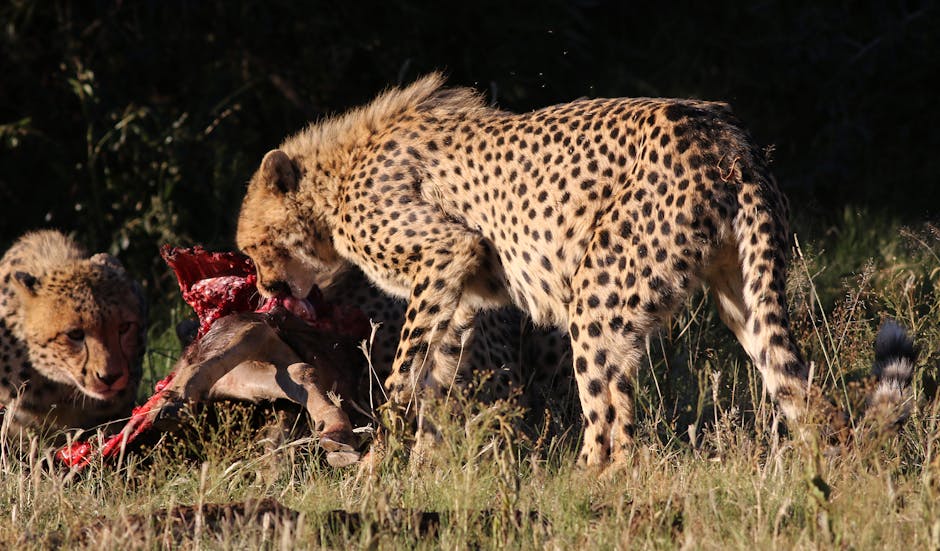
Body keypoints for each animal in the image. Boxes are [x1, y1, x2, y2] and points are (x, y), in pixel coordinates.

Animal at [235, 73, 914, 468]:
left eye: (254, 249)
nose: (264, 290)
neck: (336, 175)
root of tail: (725, 136)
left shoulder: (446, 252)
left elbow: (406, 375)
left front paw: (382, 452)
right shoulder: (462, 292)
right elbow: (437, 377)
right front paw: (418, 466)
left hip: (598, 294)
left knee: (614, 421)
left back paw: (585, 485)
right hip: (740, 294)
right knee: (799, 390)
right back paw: (825, 474)